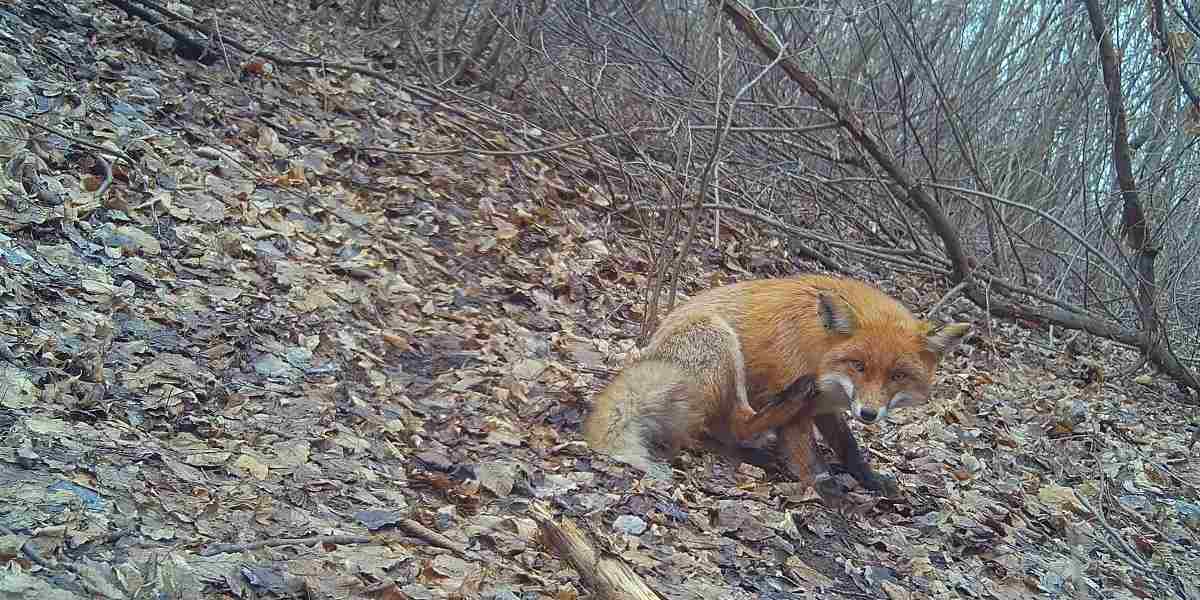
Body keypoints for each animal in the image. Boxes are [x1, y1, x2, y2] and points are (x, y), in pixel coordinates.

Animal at [585, 274, 969, 494]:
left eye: (897, 376)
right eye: (859, 366)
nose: (869, 414)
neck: (819, 349)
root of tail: (649, 352)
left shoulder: (828, 407)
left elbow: (848, 446)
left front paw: (869, 479)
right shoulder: (798, 393)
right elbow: (804, 450)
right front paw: (825, 488)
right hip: (720, 340)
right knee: (726, 427)